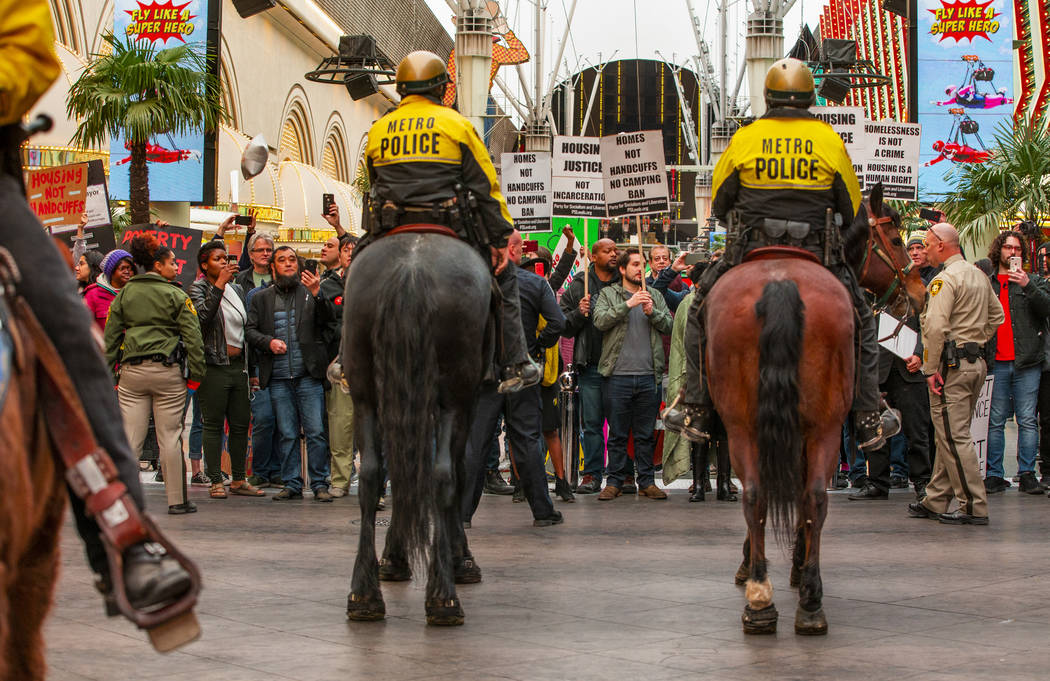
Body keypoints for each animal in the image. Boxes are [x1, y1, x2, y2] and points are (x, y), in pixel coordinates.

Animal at [342, 231, 493, 625]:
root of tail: (411, 270)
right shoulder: (465, 402)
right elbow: (456, 470)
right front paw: (461, 558)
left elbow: (401, 471)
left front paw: (393, 557)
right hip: (454, 394)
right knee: (443, 475)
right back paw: (444, 597)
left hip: (366, 392)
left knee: (372, 475)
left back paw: (364, 595)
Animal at [705, 183, 928, 633]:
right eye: (896, 239)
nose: (918, 294)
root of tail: (780, 283)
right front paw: (791, 559)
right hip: (815, 425)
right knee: (806, 495)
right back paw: (801, 596)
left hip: (750, 425)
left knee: (763, 494)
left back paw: (766, 597)